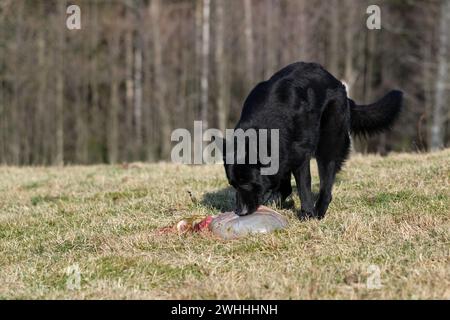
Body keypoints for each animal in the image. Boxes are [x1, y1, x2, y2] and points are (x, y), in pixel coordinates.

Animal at [223, 61, 402, 219]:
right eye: (233, 184)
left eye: (247, 183)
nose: (239, 212)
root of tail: (338, 84)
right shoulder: (284, 154)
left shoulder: (300, 156)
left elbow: (304, 186)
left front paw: (307, 214)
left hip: (328, 144)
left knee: (326, 183)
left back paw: (319, 211)